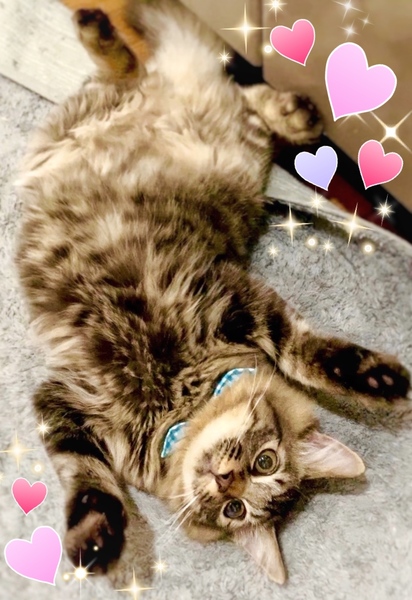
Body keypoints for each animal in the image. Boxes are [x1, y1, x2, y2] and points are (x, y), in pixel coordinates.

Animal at [16, 0, 410, 587]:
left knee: (218, 91)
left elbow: (299, 355)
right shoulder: (227, 301)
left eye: (237, 508)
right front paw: (96, 539)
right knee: (155, 70)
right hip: (108, 112)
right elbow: (85, 475)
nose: (227, 479)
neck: (174, 396)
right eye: (265, 462)